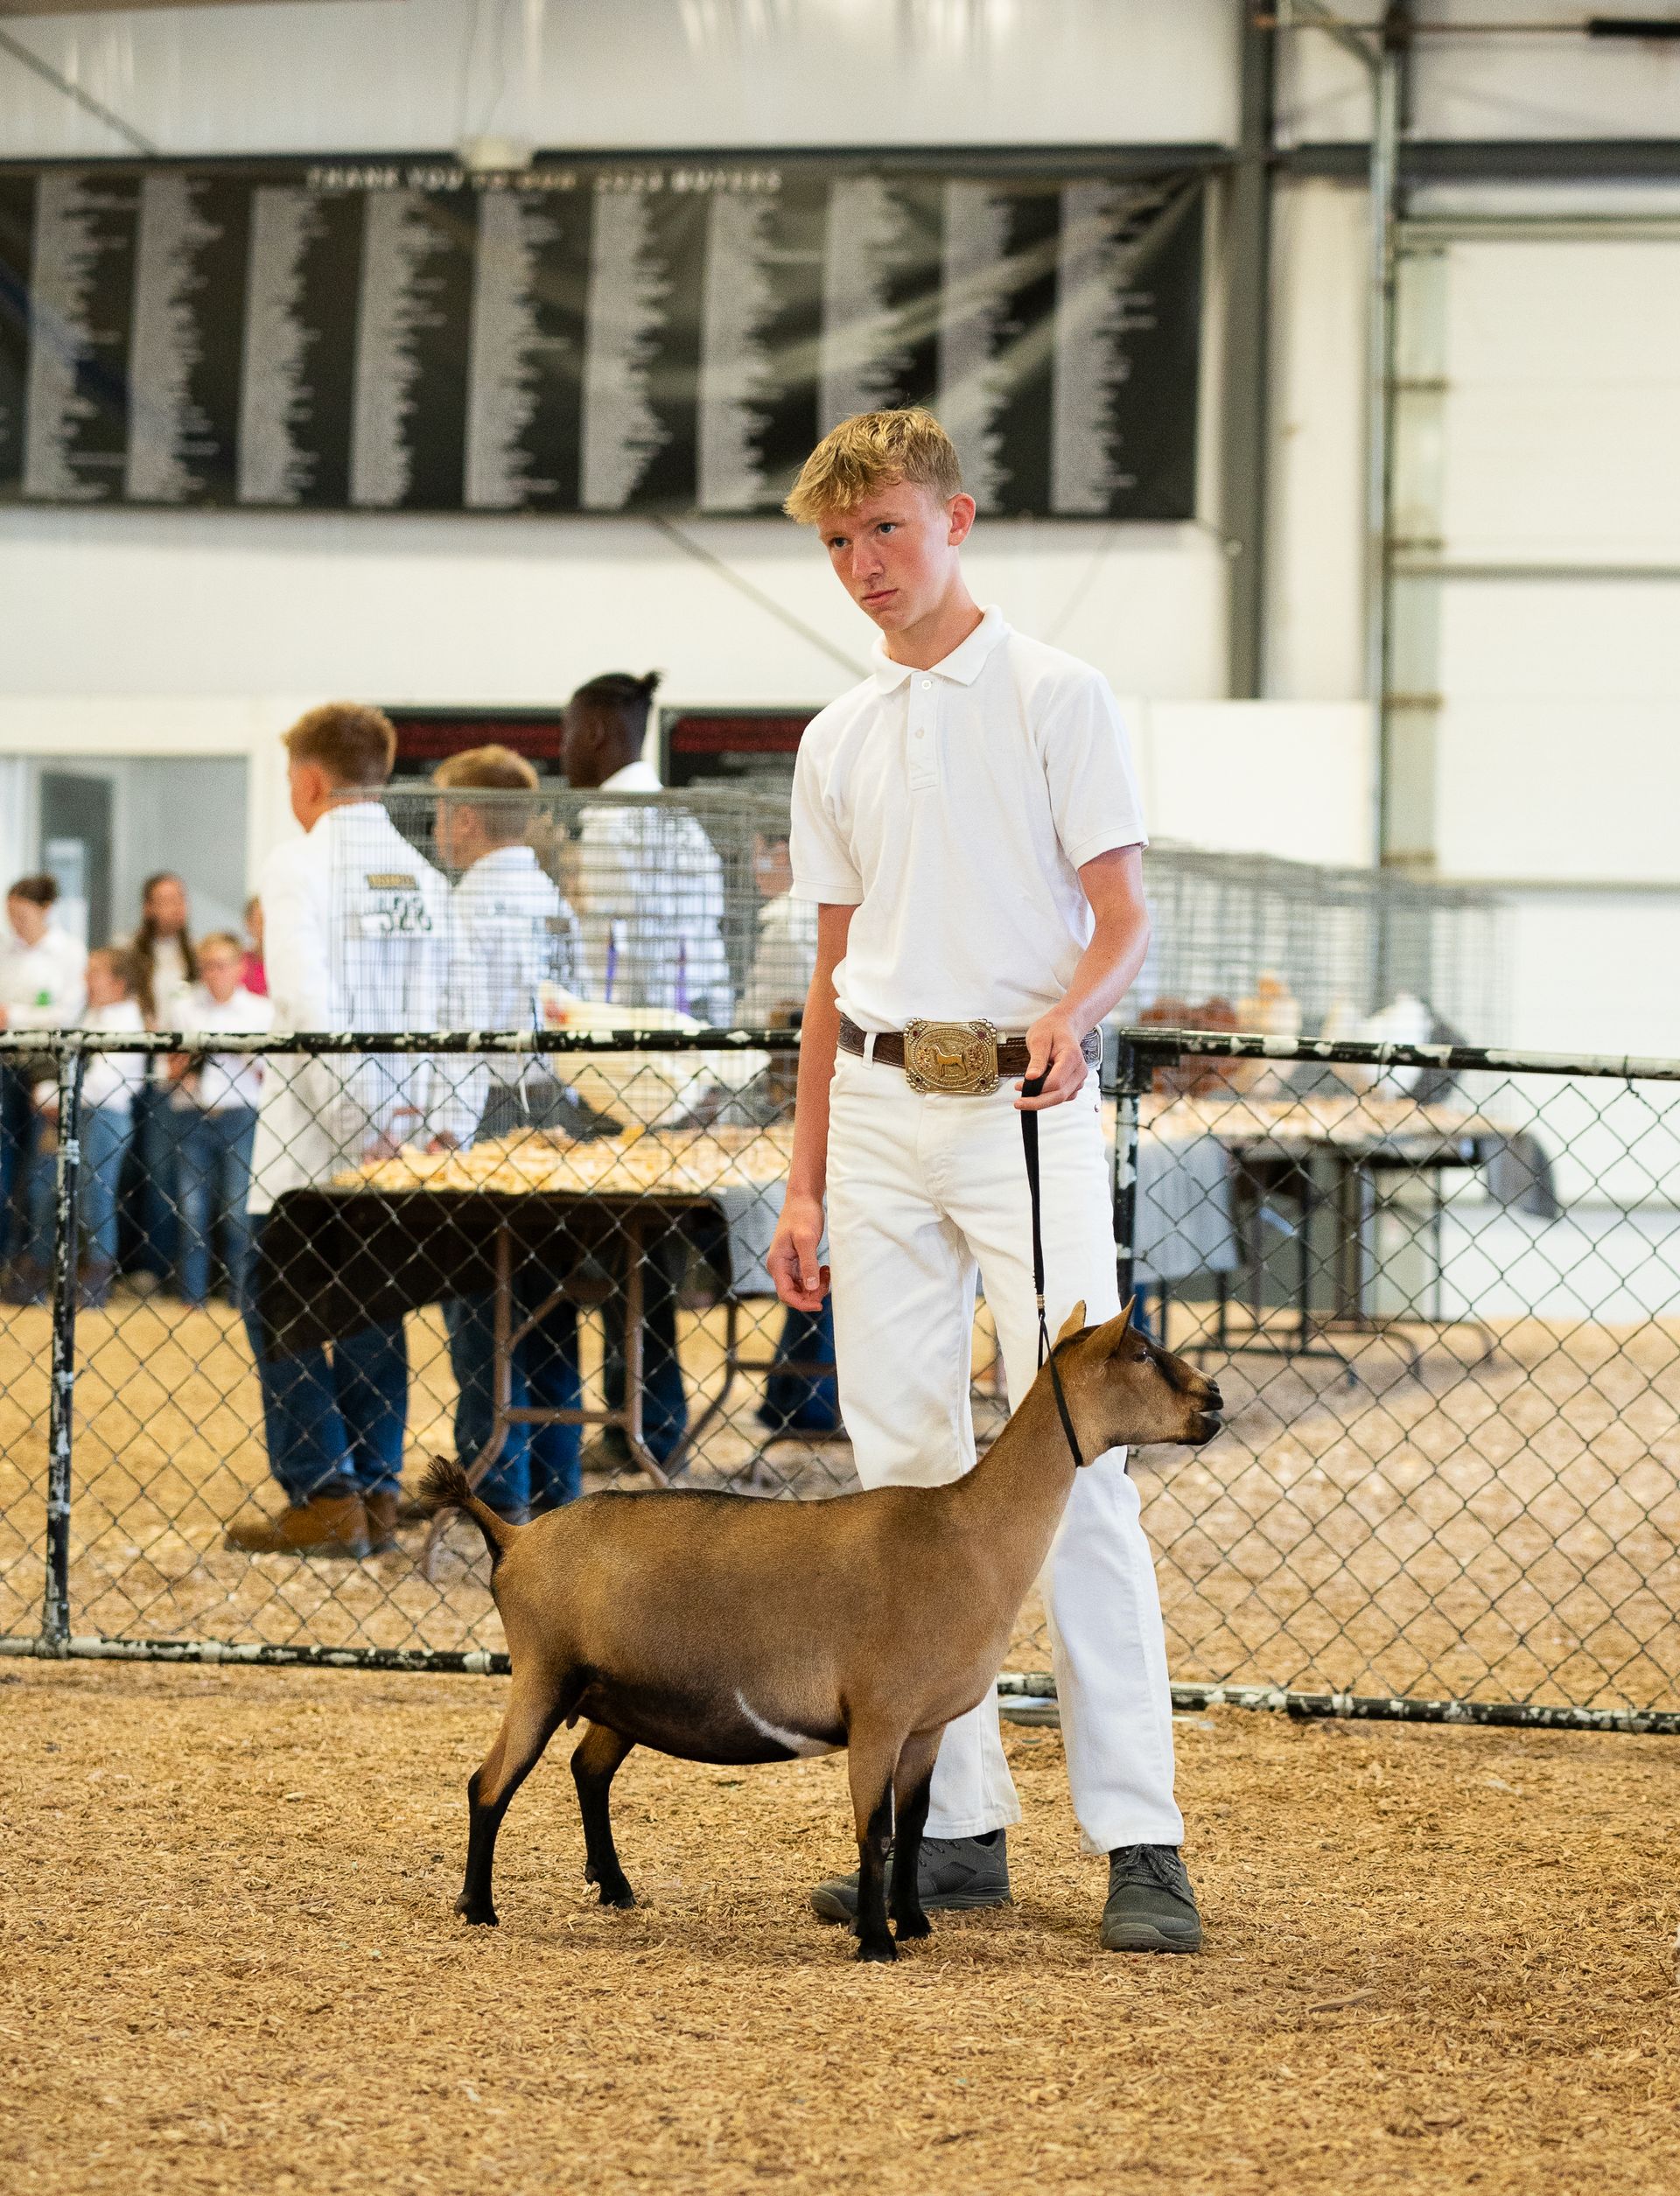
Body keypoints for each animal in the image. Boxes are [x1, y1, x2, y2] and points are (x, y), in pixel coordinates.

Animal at [418, 1300, 1222, 1963]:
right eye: (1141, 1352)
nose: (1214, 1400)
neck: (967, 1535)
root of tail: (514, 1538)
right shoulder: (877, 1715)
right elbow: (874, 1828)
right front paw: (875, 1942)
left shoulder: (925, 1727)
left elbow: (913, 1823)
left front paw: (913, 1923)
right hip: (543, 1671)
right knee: (489, 1783)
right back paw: (477, 1908)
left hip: (617, 1695)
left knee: (588, 1768)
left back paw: (613, 1887)